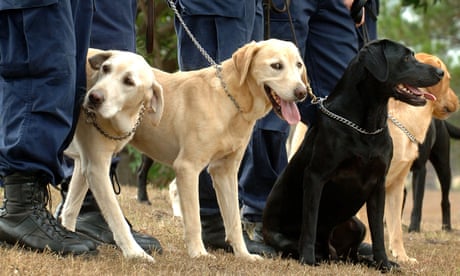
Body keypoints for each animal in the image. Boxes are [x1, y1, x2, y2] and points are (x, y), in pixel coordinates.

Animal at [61, 48, 164, 262]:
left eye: (129, 82)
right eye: (106, 68)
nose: (94, 97)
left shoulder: (84, 165)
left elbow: (71, 208)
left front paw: (68, 234)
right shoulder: (97, 168)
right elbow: (116, 216)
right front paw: (135, 253)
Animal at [264, 39, 444, 272]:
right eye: (406, 58)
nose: (441, 72)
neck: (367, 125)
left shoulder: (378, 183)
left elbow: (378, 232)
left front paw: (384, 264)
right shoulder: (315, 177)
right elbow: (310, 224)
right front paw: (307, 260)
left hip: (356, 226)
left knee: (351, 255)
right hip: (283, 238)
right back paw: (316, 256)